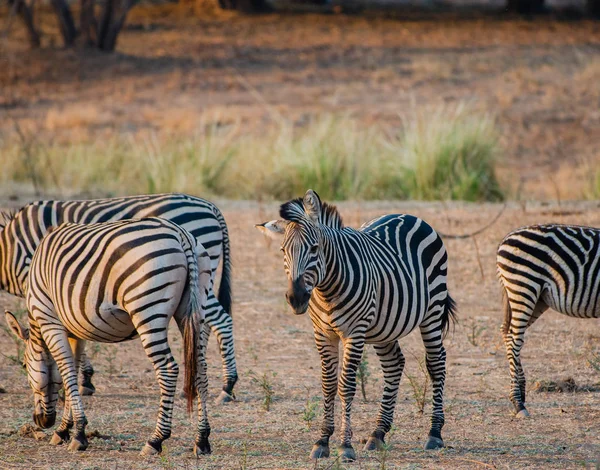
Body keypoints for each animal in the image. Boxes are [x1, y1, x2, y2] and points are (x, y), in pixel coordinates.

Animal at [0, 193, 239, 402]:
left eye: (23, 366)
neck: (11, 249)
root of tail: (211, 206)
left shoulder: (47, 286)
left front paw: (82, 381)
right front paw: (83, 380)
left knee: (221, 321)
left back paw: (227, 387)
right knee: (204, 326)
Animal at [4, 218, 213, 456]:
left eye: (23, 365)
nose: (41, 421)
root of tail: (180, 234)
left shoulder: (49, 320)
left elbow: (66, 372)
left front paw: (78, 434)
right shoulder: (75, 331)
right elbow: (72, 371)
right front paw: (65, 429)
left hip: (148, 311)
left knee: (168, 369)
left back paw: (155, 440)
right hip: (195, 310)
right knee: (200, 369)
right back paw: (202, 439)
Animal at [255, 189, 458, 460]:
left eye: (314, 248)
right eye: (282, 250)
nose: (295, 298)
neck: (326, 289)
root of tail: (410, 215)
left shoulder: (355, 332)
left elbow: (346, 386)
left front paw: (345, 446)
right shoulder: (322, 333)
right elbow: (328, 385)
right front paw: (322, 441)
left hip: (432, 310)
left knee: (436, 363)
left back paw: (434, 433)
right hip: (385, 325)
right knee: (394, 365)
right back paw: (378, 434)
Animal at [500, 224, 600, 418]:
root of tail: (506, 238)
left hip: (538, 298)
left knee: (507, 334)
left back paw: (521, 395)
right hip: (524, 286)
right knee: (515, 340)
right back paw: (518, 403)